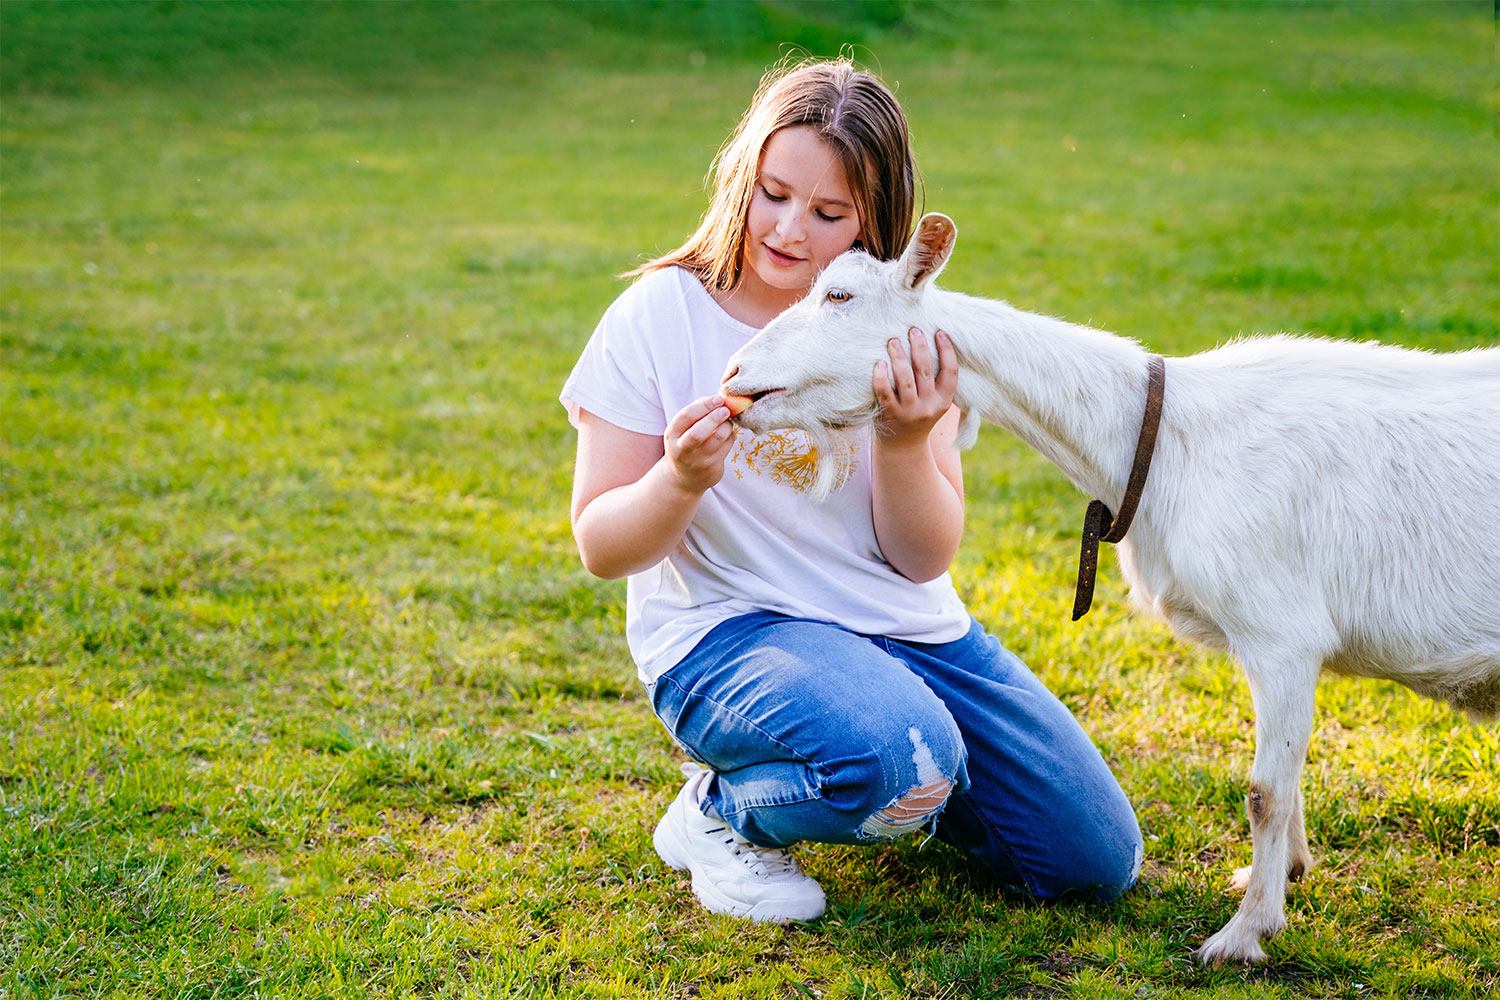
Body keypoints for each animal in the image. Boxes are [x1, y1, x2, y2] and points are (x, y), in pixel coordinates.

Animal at [721, 212, 1500, 964]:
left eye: (840, 295)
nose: (733, 374)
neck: (1164, 442)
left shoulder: (1281, 633)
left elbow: (1266, 791)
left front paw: (1244, 936)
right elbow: (1289, 778)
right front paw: (1282, 876)